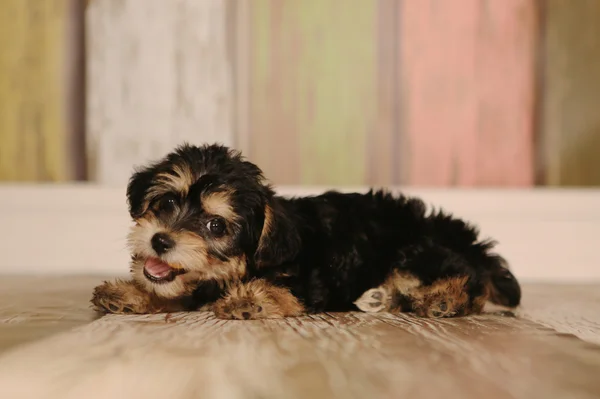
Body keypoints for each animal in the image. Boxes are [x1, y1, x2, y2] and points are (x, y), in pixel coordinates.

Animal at [90, 143, 520, 318]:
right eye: (165, 205)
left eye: (215, 225)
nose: (161, 240)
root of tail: (466, 240)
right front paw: (129, 294)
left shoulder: (306, 282)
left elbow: (281, 291)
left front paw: (250, 300)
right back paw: (383, 298)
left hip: (415, 248)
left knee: (468, 283)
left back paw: (441, 300)